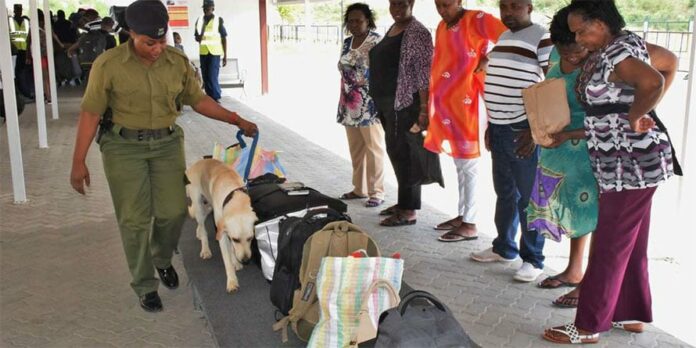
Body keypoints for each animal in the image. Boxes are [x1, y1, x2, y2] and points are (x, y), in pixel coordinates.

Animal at [185, 159, 258, 292]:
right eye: (236, 239)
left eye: (250, 238)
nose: (246, 260)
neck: (235, 199)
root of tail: (196, 163)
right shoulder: (222, 235)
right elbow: (227, 259)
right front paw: (232, 281)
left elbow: (232, 249)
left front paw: (236, 262)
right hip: (198, 204)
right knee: (202, 226)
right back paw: (205, 248)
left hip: (208, 205)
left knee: (202, 219)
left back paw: (198, 232)